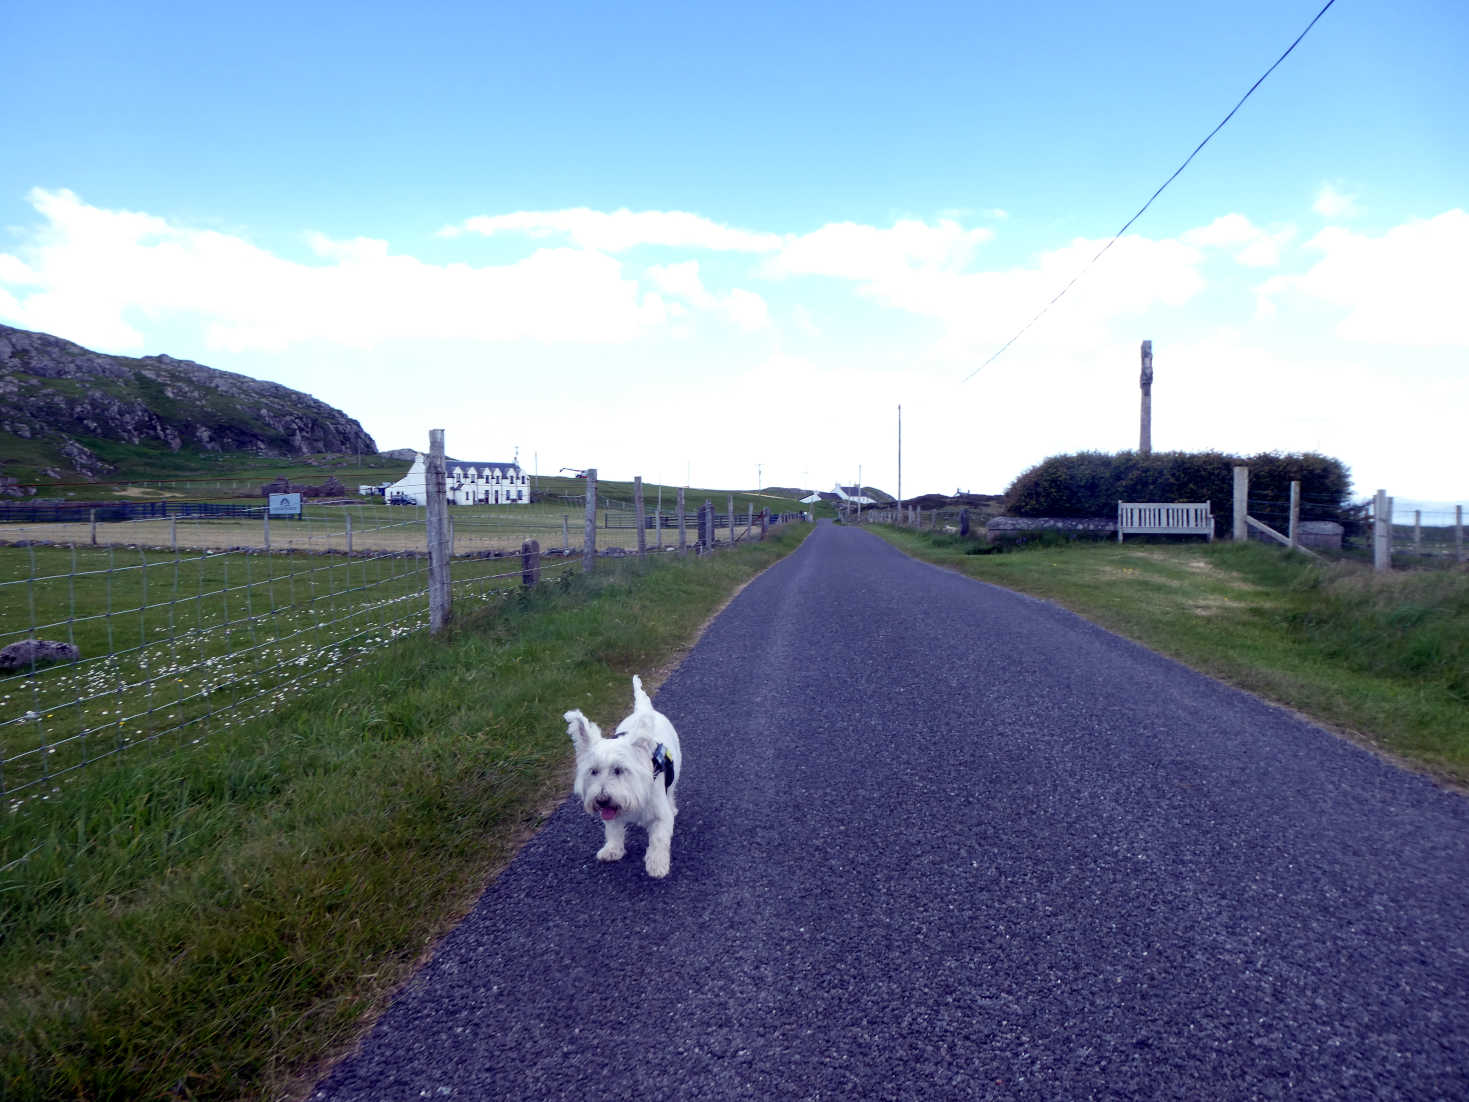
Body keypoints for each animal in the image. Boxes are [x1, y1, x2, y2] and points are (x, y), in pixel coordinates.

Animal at [561, 672, 681, 881]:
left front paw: (656, 864)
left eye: (619, 770)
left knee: (671, 791)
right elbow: (613, 830)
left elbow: (658, 839)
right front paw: (612, 850)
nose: (601, 800)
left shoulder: (660, 816)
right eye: (593, 771)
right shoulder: (612, 813)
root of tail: (644, 710)